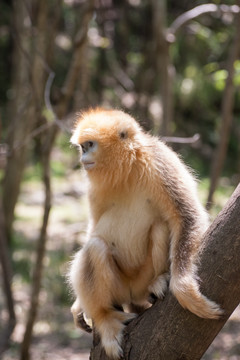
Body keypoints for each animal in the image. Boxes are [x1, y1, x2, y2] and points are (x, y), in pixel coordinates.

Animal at [67, 108, 221, 358]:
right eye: (82, 147)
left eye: (89, 145)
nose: (83, 158)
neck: (127, 168)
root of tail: (133, 294)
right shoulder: (93, 188)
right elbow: (93, 227)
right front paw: (78, 306)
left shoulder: (159, 160)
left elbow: (187, 216)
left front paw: (183, 289)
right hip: (119, 289)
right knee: (95, 247)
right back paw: (105, 318)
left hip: (141, 279)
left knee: (160, 226)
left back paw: (158, 282)